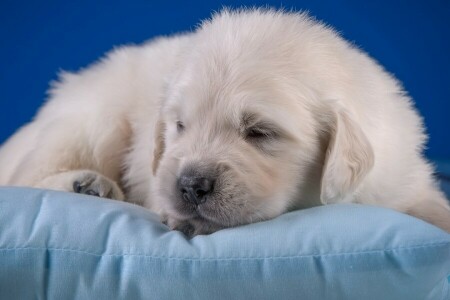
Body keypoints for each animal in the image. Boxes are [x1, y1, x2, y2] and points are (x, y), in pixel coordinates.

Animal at [0, 9, 450, 236]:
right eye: (180, 126)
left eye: (259, 132)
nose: (190, 186)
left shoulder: (401, 179)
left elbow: (432, 207)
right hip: (96, 119)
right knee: (28, 176)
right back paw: (88, 184)